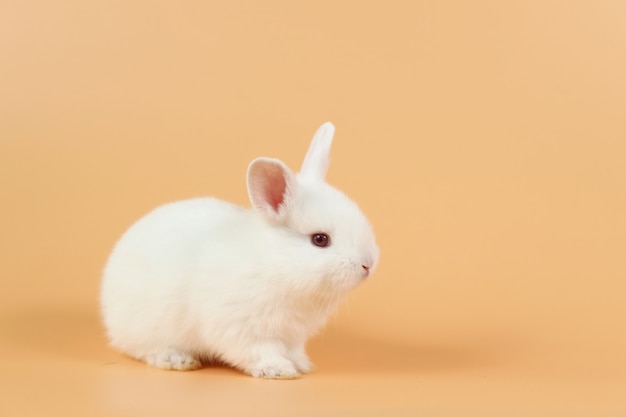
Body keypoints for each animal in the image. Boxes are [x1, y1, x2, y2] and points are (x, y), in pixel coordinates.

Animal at [100, 122, 378, 378]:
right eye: (320, 239)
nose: (368, 264)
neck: (277, 263)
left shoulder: (293, 336)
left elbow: (294, 351)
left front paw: (302, 365)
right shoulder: (243, 328)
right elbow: (260, 351)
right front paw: (278, 370)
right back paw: (178, 360)